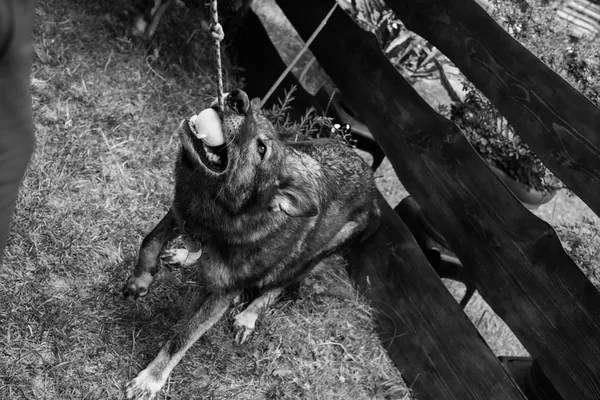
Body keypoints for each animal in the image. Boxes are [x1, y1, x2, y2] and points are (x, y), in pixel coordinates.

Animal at [122, 89, 380, 398]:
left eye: (262, 149)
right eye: (255, 116)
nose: (238, 98)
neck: (223, 211)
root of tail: (369, 177)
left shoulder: (221, 296)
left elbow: (182, 338)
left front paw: (150, 380)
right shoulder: (180, 214)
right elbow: (149, 241)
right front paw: (141, 280)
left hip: (308, 256)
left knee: (276, 286)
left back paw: (248, 317)